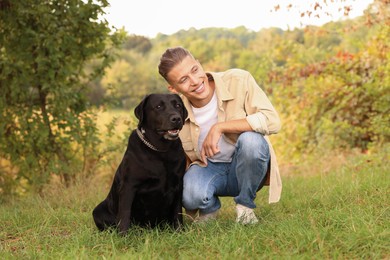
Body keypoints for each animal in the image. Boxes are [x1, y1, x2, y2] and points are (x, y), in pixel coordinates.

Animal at [92, 93, 188, 234]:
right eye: (158, 106)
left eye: (178, 105)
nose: (176, 118)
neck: (161, 151)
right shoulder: (129, 186)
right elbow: (125, 213)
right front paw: (123, 235)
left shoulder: (178, 184)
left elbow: (177, 212)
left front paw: (179, 232)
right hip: (98, 211)